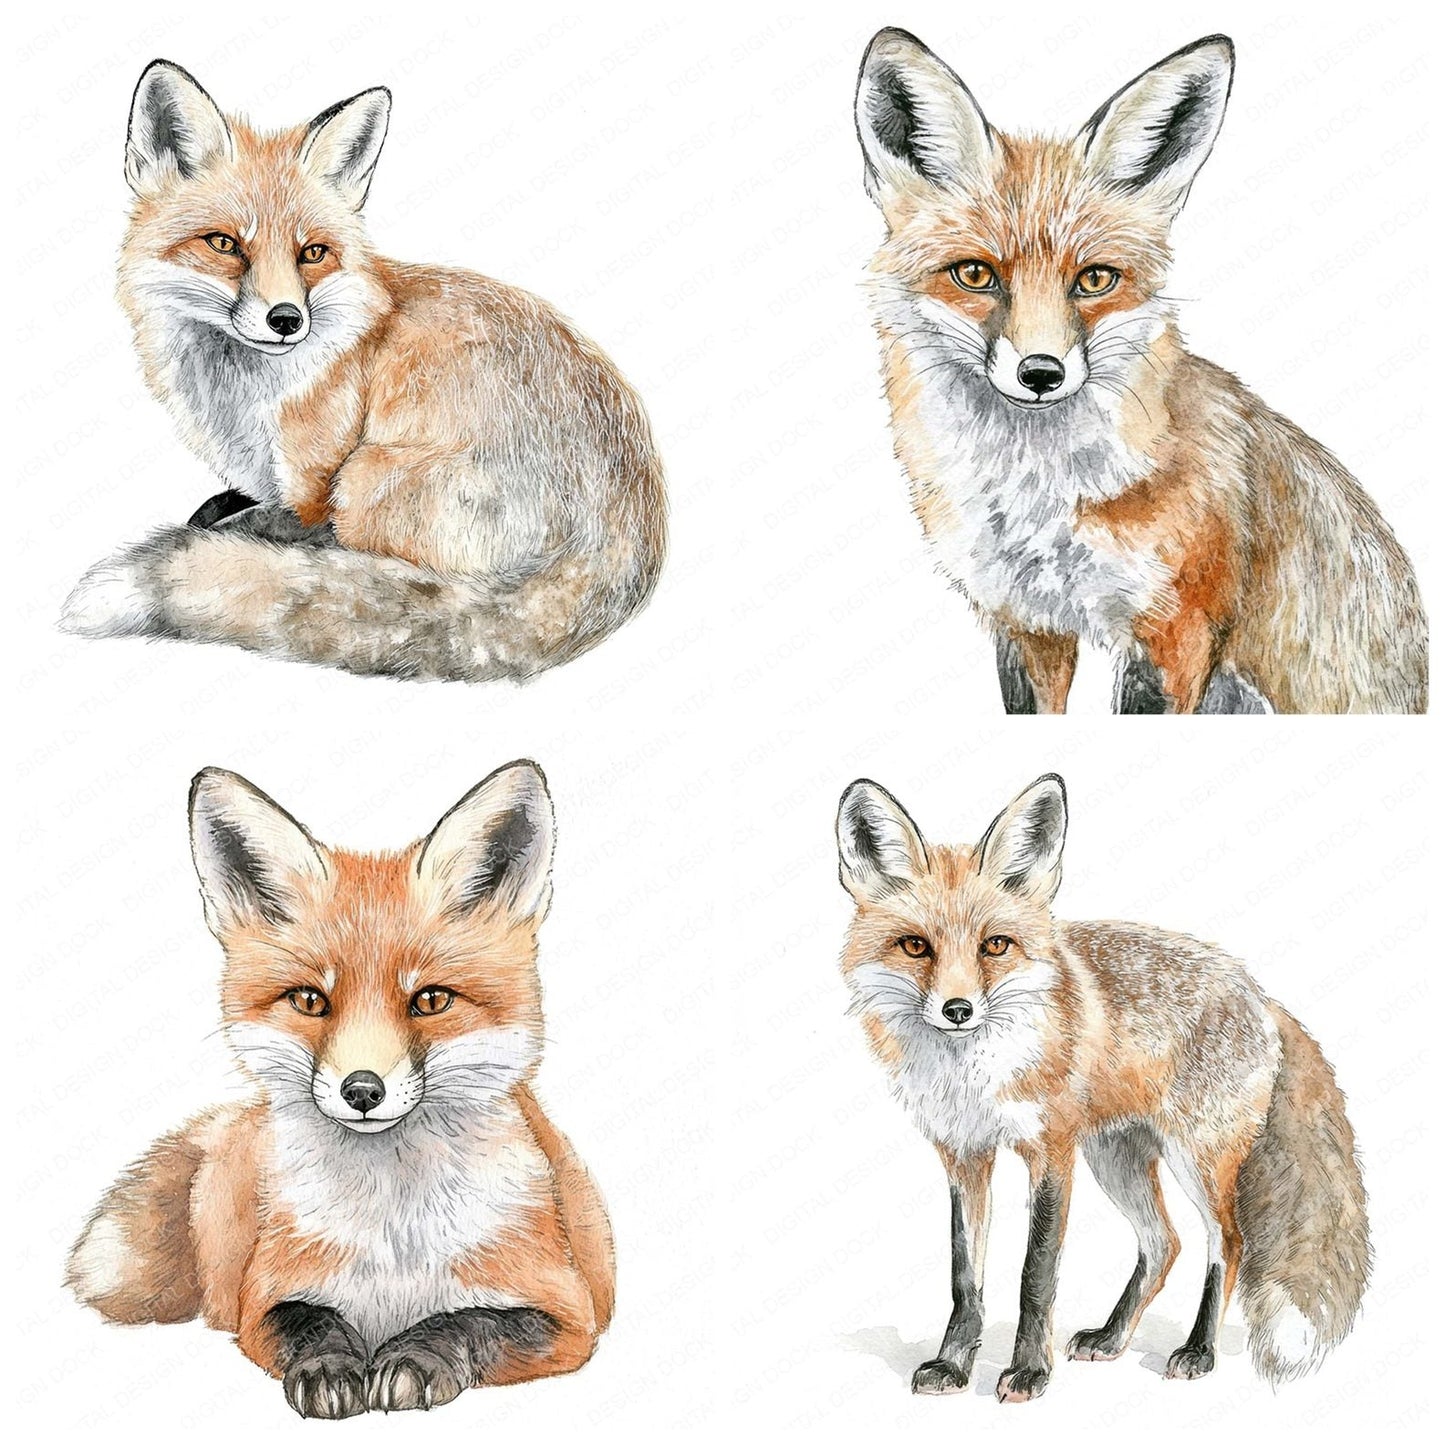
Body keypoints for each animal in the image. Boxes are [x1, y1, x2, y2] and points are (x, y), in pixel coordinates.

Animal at [60, 60, 665, 684]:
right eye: (224, 244)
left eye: (312, 253)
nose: (286, 319)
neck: (245, 391)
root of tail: (627, 531)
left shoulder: (317, 477)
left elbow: (292, 525)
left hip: (366, 476)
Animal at [66, 761, 615, 1418]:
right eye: (310, 1000)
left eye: (431, 1000)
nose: (362, 1090)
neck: (394, 1238)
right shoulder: (263, 1301)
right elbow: (311, 1321)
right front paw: (330, 1367)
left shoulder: (568, 1315)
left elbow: (468, 1321)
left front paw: (414, 1357)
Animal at [835, 773, 1369, 1402]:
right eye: (916, 945)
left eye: (996, 945)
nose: (958, 1009)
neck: (973, 1075)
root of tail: (1259, 993)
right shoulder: (964, 1154)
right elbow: (966, 1279)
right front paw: (953, 1365)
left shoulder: (1052, 1152)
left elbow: (1035, 1275)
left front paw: (1029, 1372)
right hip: (1116, 1158)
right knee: (1164, 1243)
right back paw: (1113, 1339)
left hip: (1196, 1159)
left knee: (1228, 1243)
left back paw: (1199, 1351)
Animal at [855, 29, 1427, 714]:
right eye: (975, 274)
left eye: (1095, 279)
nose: (1041, 373)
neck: (1036, 496)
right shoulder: (1028, 625)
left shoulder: (1176, 632)